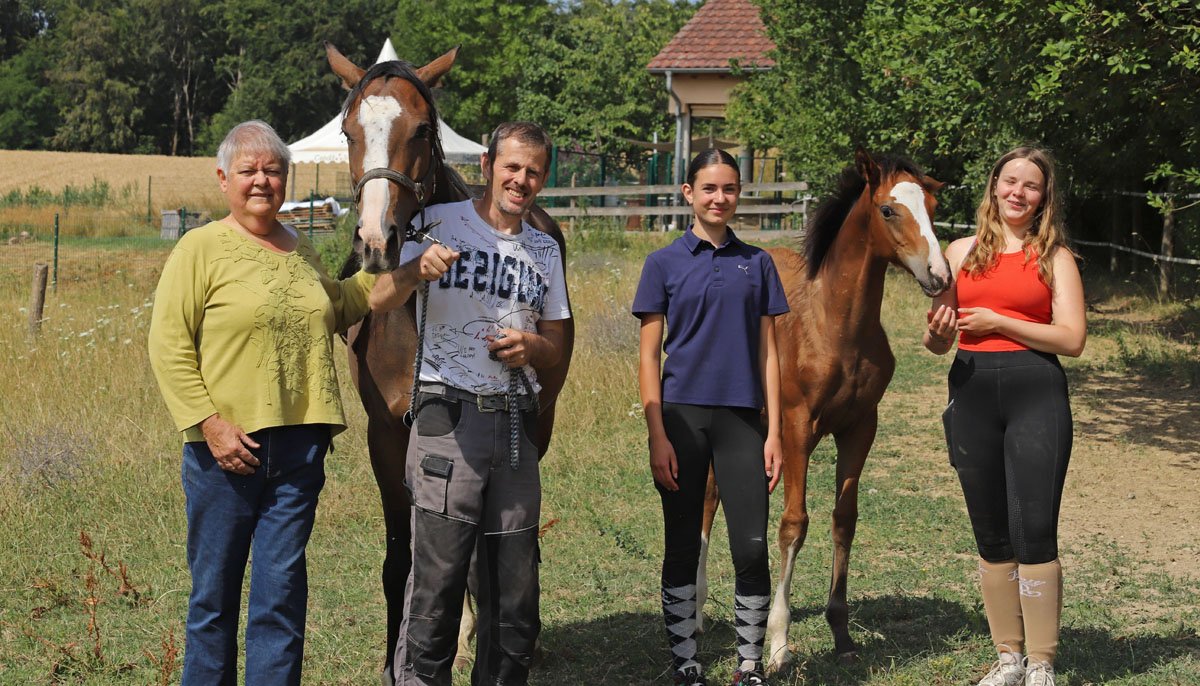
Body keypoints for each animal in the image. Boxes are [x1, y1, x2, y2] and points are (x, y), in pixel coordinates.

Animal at [695, 150, 951, 671]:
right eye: (888, 210)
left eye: (934, 207)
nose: (939, 275)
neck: (837, 326)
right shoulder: (798, 428)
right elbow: (794, 523)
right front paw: (777, 644)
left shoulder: (861, 427)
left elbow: (843, 519)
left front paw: (841, 633)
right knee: (710, 496)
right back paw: (695, 612)